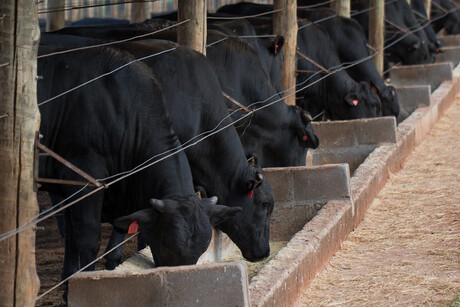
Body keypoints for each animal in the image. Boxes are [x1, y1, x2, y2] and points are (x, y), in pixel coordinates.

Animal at [36, 46, 237, 282]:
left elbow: (71, 236)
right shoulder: (82, 178)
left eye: (202, 250)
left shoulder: (69, 188)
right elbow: (86, 240)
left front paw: (68, 279)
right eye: (167, 243)